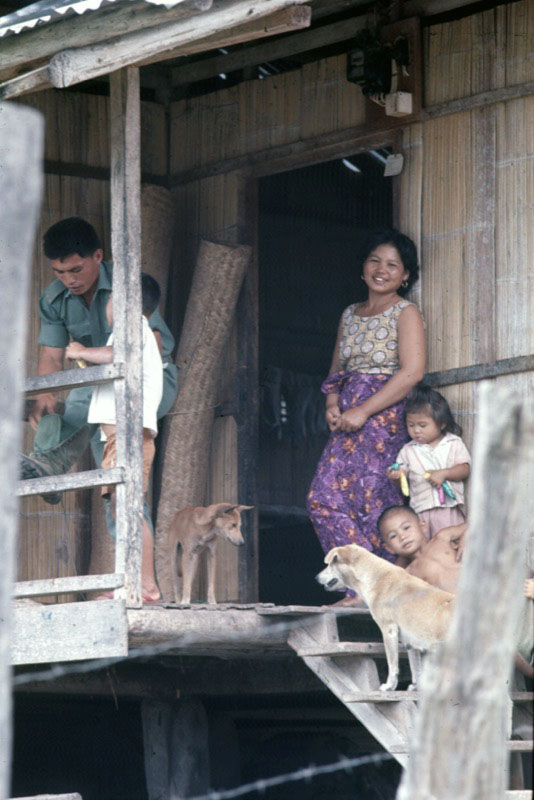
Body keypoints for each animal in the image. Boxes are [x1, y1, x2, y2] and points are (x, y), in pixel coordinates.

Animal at [318, 548, 456, 692]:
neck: (374, 577)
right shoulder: (410, 643)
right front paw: (415, 686)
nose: (316, 577)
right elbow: (415, 667)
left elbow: (392, 664)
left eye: (329, 564)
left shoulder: (388, 630)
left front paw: (389, 686)